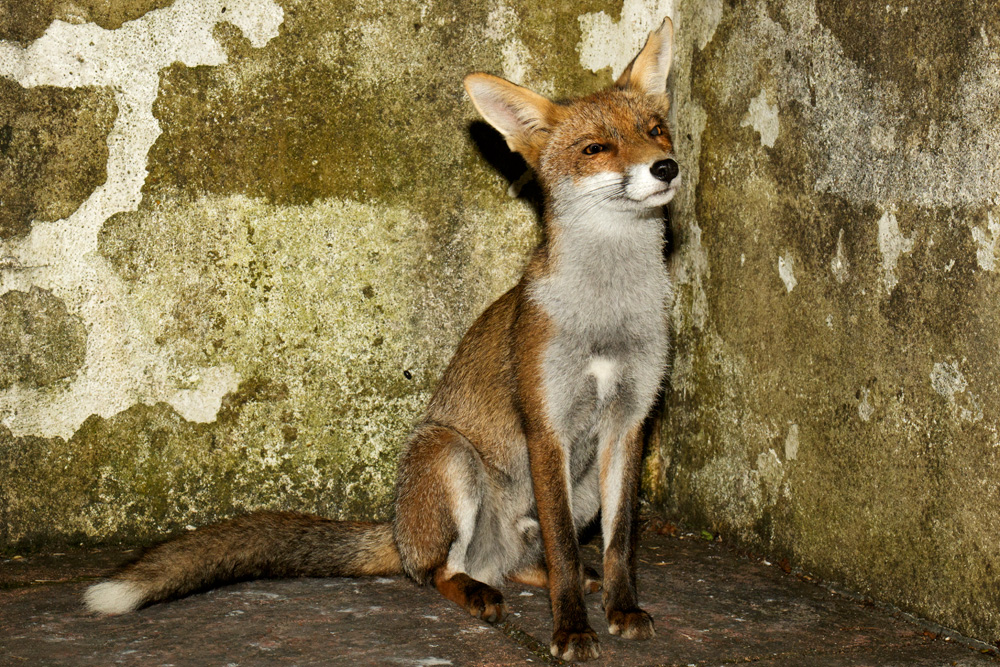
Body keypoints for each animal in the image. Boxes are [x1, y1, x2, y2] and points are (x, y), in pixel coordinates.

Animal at [83, 18, 679, 663]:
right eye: (596, 149)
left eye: (654, 130)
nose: (666, 167)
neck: (607, 318)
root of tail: (396, 528)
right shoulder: (547, 426)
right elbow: (567, 552)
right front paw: (570, 631)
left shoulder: (628, 424)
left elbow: (619, 546)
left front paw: (622, 611)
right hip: (449, 456)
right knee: (438, 572)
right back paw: (476, 593)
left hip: (578, 490)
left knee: (521, 562)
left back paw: (537, 579)